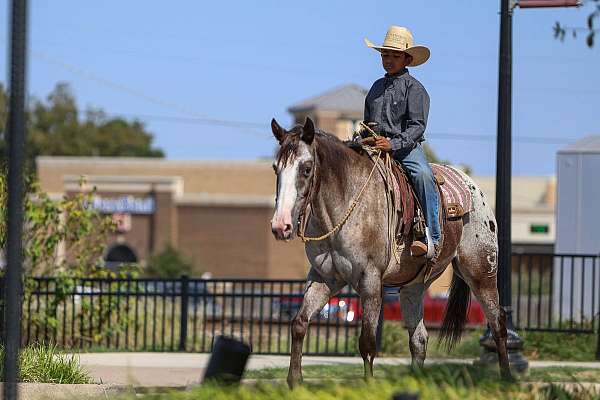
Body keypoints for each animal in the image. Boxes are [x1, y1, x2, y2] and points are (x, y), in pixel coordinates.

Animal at [272, 116, 510, 388]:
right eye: (276, 168)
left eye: (306, 168)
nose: (280, 225)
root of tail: (474, 189)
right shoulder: (325, 278)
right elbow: (299, 323)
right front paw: (294, 381)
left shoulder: (370, 280)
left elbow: (367, 342)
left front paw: (368, 385)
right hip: (414, 286)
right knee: (419, 339)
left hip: (481, 273)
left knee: (498, 323)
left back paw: (507, 378)